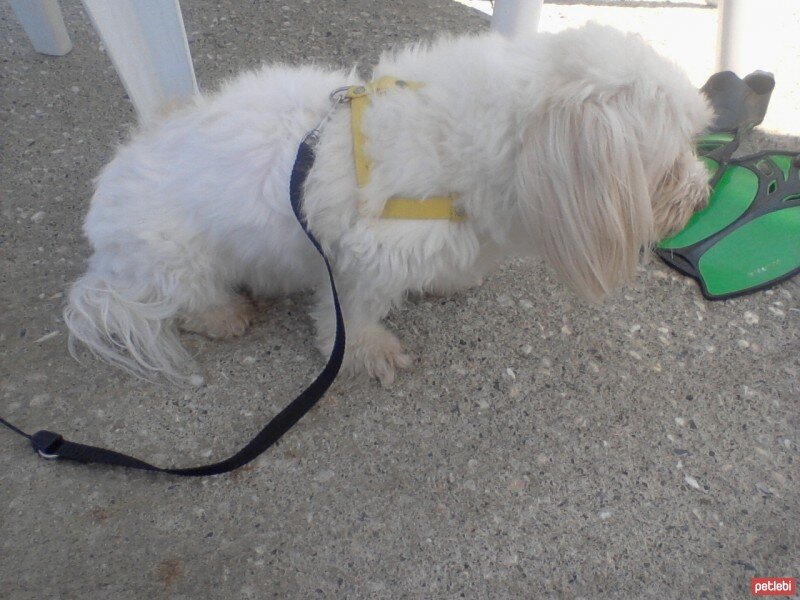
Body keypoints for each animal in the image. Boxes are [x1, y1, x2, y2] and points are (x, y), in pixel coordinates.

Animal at [65, 23, 708, 384]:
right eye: (668, 169)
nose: (701, 196)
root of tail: (103, 249)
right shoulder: (366, 257)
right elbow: (352, 315)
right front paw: (365, 352)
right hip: (178, 258)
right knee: (188, 299)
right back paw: (223, 314)